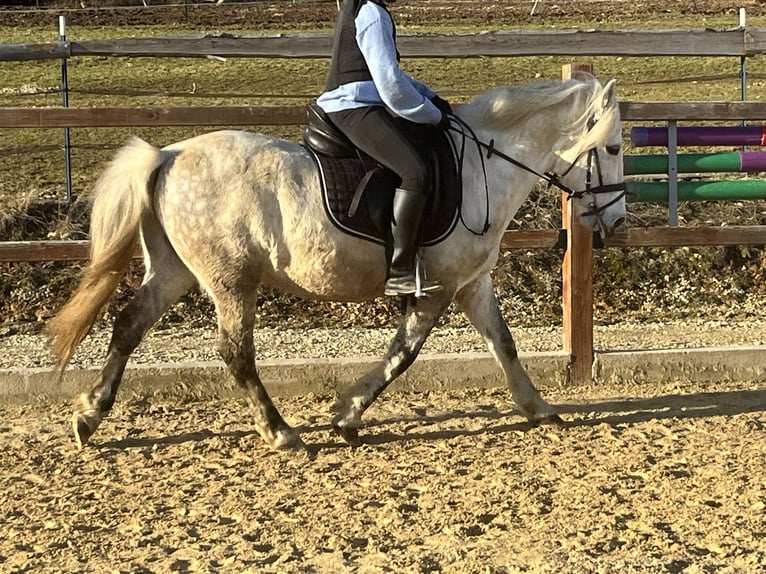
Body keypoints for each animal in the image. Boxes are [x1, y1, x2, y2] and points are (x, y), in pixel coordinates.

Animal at [47, 72, 626, 451]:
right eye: (616, 148)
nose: (617, 223)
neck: (481, 168)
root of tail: (168, 155)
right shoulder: (438, 288)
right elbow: (403, 354)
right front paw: (346, 415)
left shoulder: (472, 284)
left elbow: (503, 343)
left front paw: (538, 408)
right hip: (230, 280)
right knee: (235, 353)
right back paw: (281, 433)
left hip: (175, 272)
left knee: (128, 326)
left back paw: (90, 416)